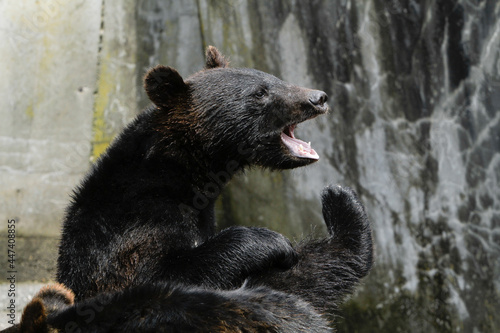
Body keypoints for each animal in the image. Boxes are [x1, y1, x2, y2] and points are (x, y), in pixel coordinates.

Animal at [57, 44, 332, 298]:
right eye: (260, 92)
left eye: (275, 79)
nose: (317, 97)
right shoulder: (137, 224)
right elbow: (160, 273)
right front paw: (276, 243)